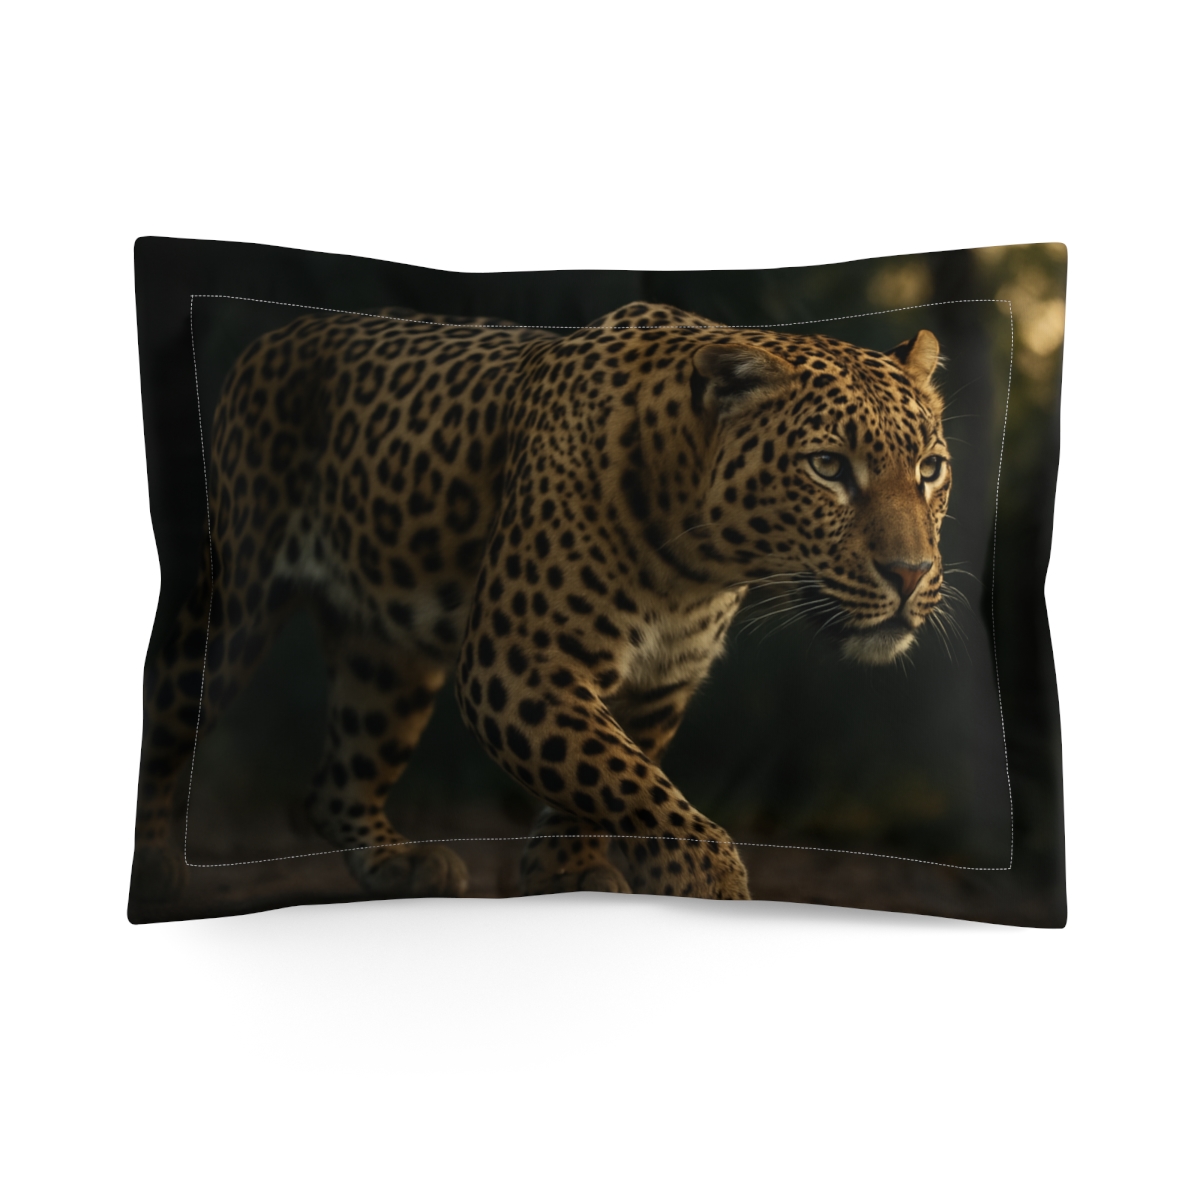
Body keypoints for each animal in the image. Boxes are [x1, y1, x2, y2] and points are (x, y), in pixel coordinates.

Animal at [131, 301, 950, 912]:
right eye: (827, 467)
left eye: (930, 469)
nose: (910, 574)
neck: (699, 563)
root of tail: (279, 333)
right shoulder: (516, 661)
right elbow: (628, 782)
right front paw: (707, 880)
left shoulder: (660, 681)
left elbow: (606, 776)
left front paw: (565, 875)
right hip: (235, 602)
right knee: (169, 711)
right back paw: (155, 867)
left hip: (388, 658)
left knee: (337, 783)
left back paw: (399, 865)